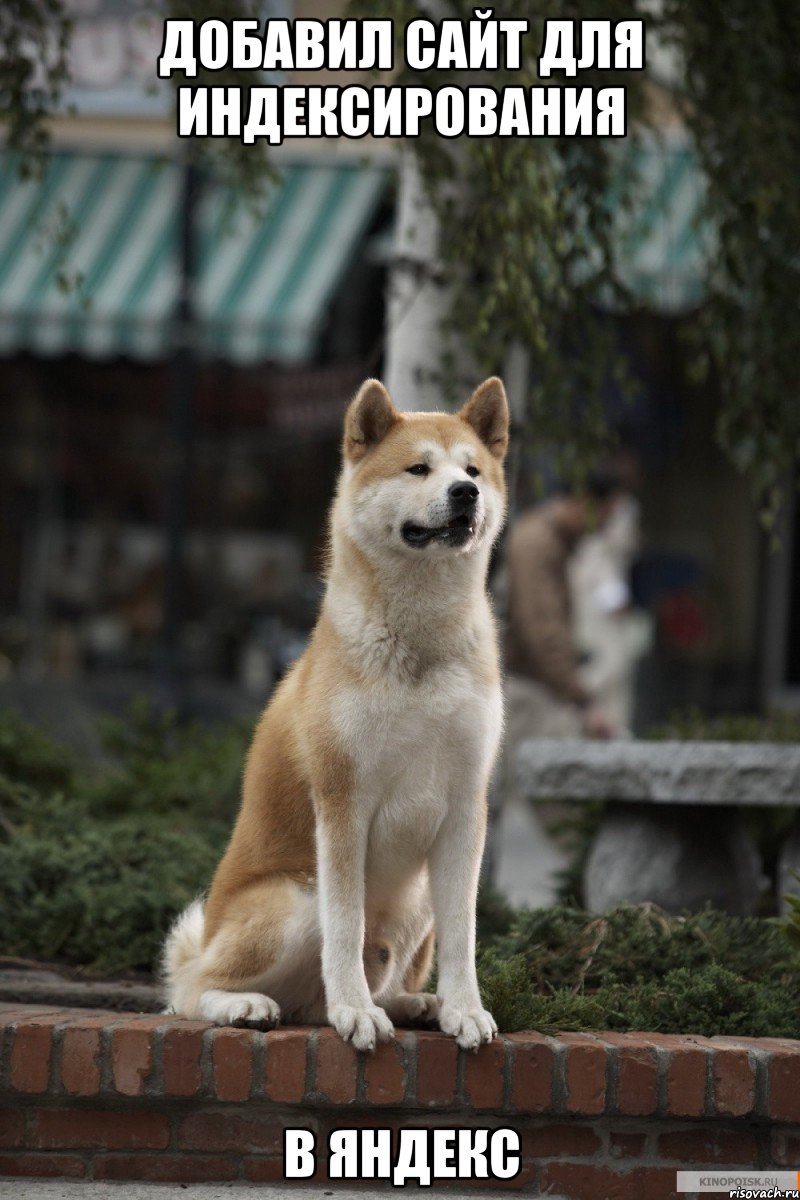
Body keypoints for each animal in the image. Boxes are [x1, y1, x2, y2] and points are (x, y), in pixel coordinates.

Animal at [165, 374, 510, 1051]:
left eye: (473, 470)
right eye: (418, 468)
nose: (465, 493)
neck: (420, 643)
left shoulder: (466, 806)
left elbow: (464, 935)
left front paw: (464, 1009)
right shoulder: (343, 801)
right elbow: (346, 928)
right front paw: (355, 1011)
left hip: (417, 900)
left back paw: (415, 1003)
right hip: (295, 900)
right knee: (189, 990)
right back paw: (250, 1005)